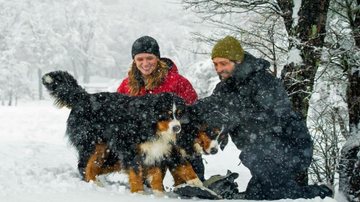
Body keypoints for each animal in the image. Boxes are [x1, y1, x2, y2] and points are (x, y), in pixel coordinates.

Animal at [41, 70, 207, 193]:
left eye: (179, 113)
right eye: (165, 114)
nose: (177, 128)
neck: (151, 126)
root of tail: (85, 97)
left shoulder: (157, 149)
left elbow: (160, 174)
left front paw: (161, 194)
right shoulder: (130, 148)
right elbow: (135, 172)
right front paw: (139, 193)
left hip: (103, 148)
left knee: (92, 166)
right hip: (90, 143)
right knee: (83, 166)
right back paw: (94, 186)